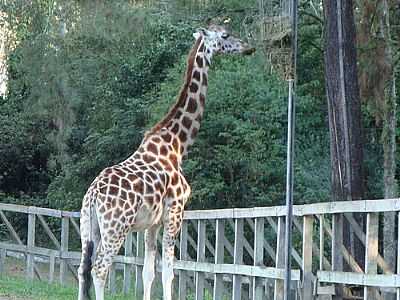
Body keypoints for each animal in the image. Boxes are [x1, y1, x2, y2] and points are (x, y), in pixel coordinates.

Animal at [76, 25, 255, 300]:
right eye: (225, 35)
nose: (248, 47)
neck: (177, 145)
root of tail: (93, 195)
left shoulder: (152, 223)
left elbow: (148, 273)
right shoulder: (176, 210)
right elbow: (169, 272)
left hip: (89, 227)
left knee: (82, 269)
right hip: (116, 228)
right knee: (99, 269)